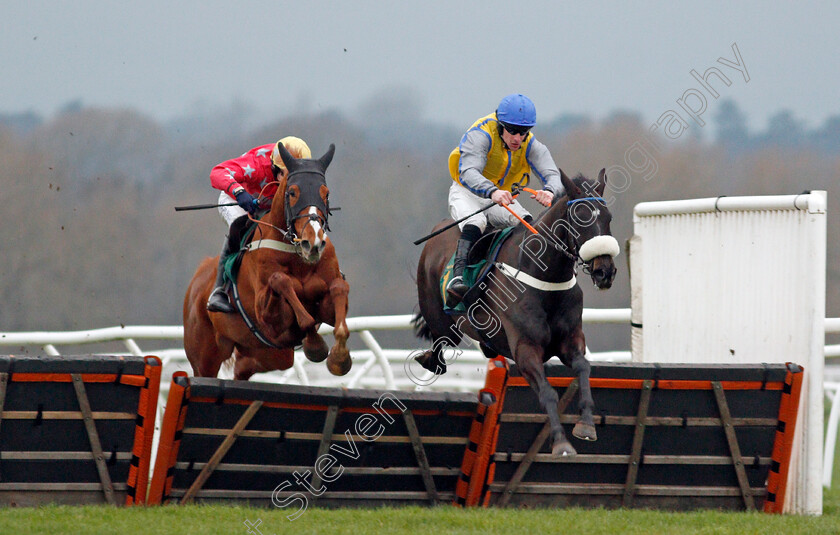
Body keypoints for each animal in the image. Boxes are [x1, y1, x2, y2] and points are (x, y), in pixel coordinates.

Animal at [184, 143, 352, 382]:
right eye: (292, 192)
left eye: (325, 193)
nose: (313, 242)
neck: (297, 256)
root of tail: (197, 279)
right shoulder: (268, 317)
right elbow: (282, 283)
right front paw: (315, 345)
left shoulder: (325, 305)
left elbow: (339, 289)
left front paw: (339, 358)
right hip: (205, 357)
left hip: (270, 353)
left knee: (244, 366)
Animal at [414, 171, 616, 456]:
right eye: (580, 218)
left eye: (608, 218)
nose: (604, 271)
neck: (545, 280)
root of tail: (438, 230)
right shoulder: (525, 349)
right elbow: (547, 393)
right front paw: (561, 442)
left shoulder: (571, 340)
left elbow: (584, 368)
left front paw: (586, 424)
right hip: (441, 320)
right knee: (440, 342)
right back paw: (430, 358)